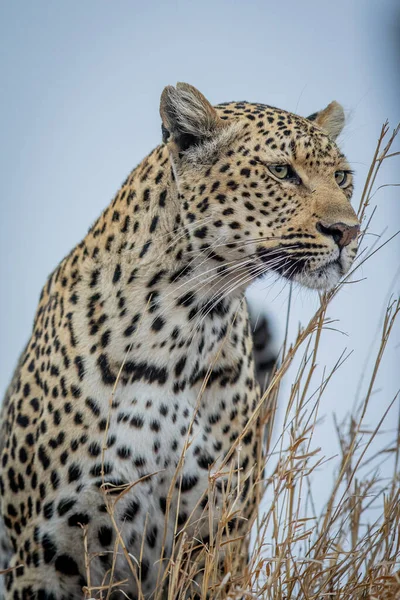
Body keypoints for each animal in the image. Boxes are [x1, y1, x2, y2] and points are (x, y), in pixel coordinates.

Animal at [0, 82, 360, 596]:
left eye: (342, 176)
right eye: (280, 171)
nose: (347, 231)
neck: (184, 325)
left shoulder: (215, 545)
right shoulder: (41, 559)